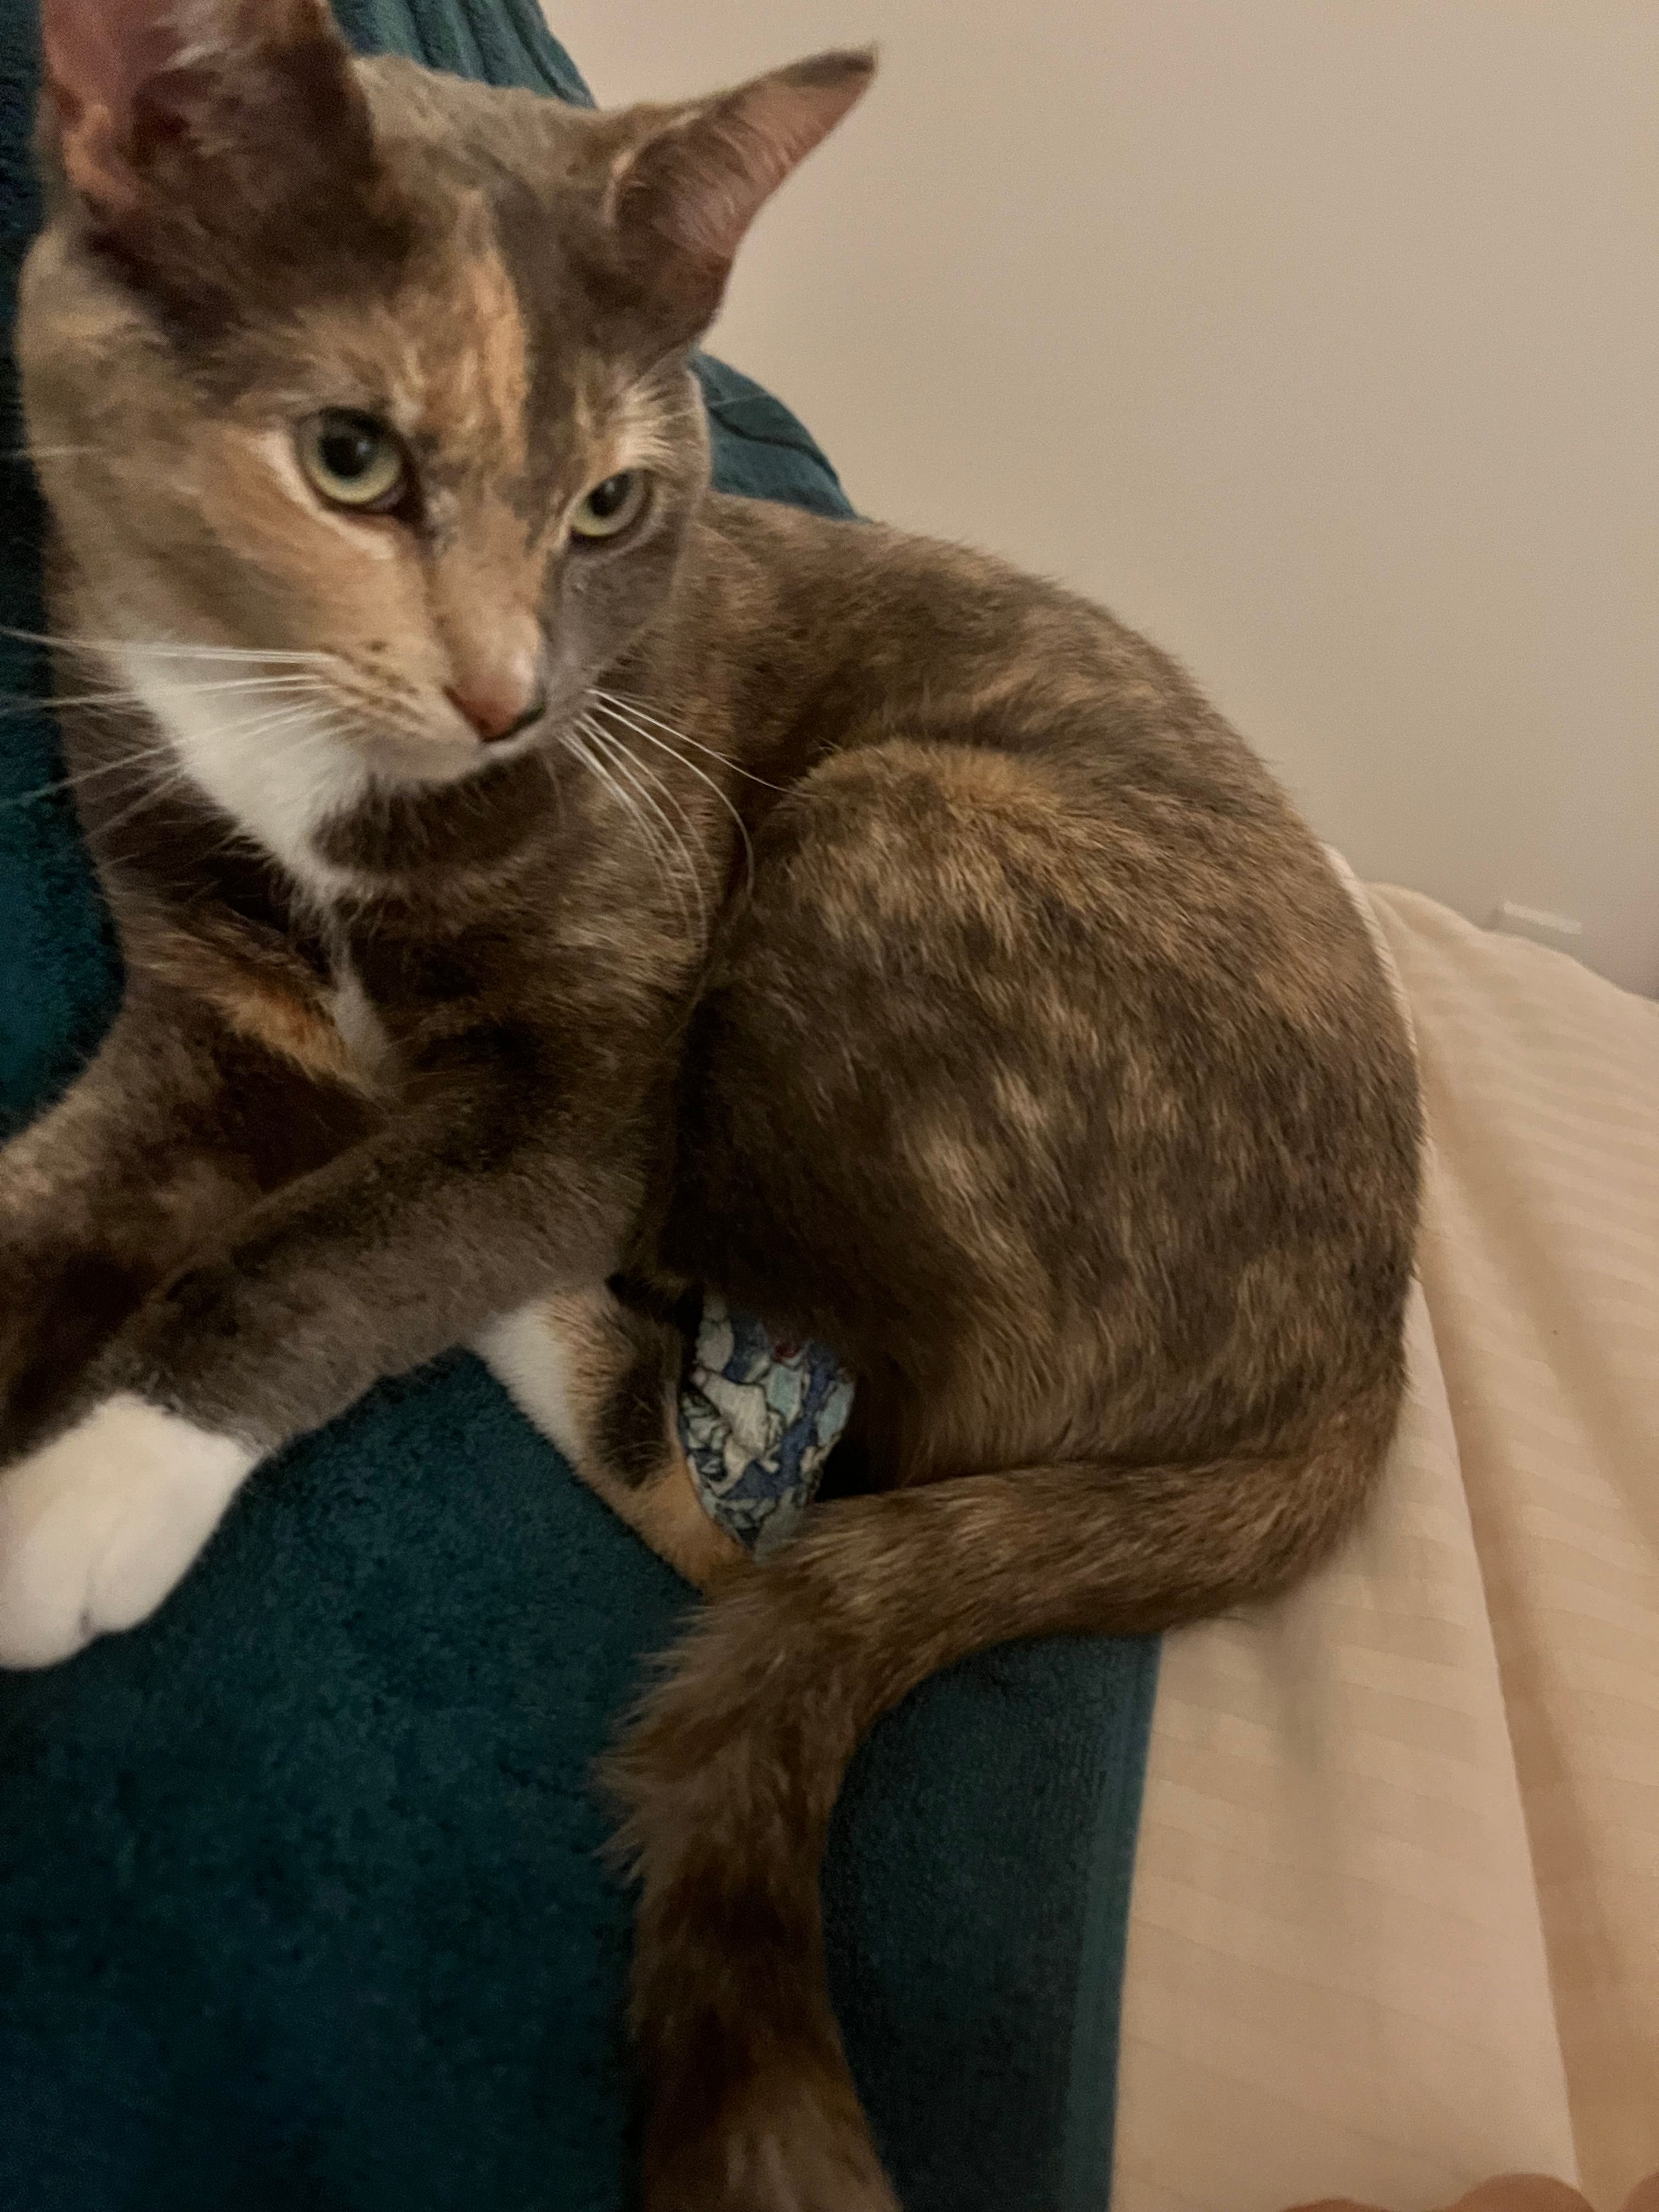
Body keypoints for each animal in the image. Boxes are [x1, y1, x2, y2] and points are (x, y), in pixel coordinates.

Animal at [0, 3, 1421, 2207]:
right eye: (350, 457)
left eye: (611, 506)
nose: (509, 696)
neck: (307, 784)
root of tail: (1365, 1354)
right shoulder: (211, 1019)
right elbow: (64, 1198)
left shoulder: (587, 1087)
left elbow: (321, 1256)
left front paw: (91, 1488)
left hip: (886, 824)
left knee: (759, 1506)